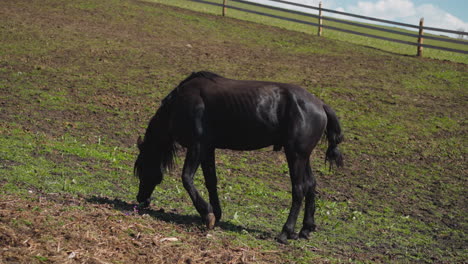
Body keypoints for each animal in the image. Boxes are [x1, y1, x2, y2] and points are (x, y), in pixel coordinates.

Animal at [133, 70, 342, 243]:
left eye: (142, 168)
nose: (141, 199)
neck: (181, 103)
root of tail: (321, 105)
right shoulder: (207, 149)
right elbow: (211, 181)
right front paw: (215, 213)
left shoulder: (197, 147)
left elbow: (187, 178)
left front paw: (207, 213)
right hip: (303, 157)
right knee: (311, 185)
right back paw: (305, 229)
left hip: (295, 156)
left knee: (299, 189)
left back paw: (285, 232)